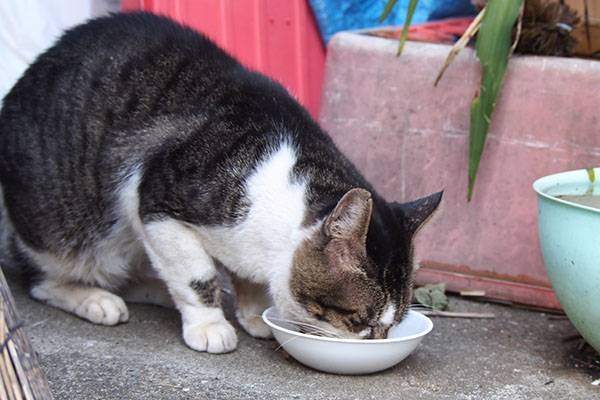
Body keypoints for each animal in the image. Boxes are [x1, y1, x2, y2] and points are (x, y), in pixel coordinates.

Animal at [0, 11, 440, 354]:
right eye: (361, 319)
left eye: (393, 323)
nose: (380, 342)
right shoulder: (156, 202)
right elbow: (198, 276)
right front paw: (210, 326)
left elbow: (246, 280)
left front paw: (256, 315)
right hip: (62, 231)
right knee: (41, 279)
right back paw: (96, 298)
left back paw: (154, 289)